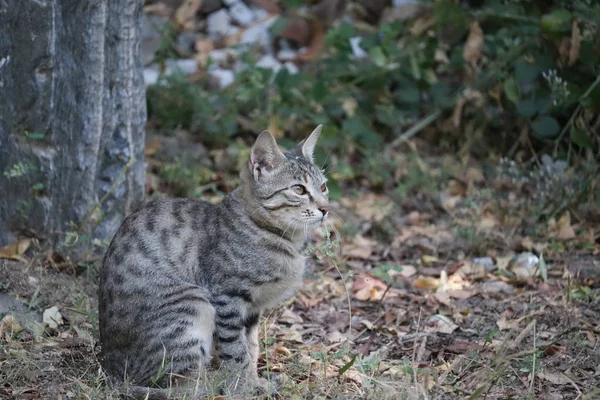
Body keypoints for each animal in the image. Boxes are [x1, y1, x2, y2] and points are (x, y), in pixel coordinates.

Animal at [100, 124, 330, 396]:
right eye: (298, 189)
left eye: (323, 187)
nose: (326, 208)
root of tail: (111, 369)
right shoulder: (227, 298)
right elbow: (236, 351)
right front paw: (241, 389)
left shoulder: (253, 309)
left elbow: (252, 346)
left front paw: (253, 382)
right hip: (193, 304)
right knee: (181, 387)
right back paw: (212, 385)